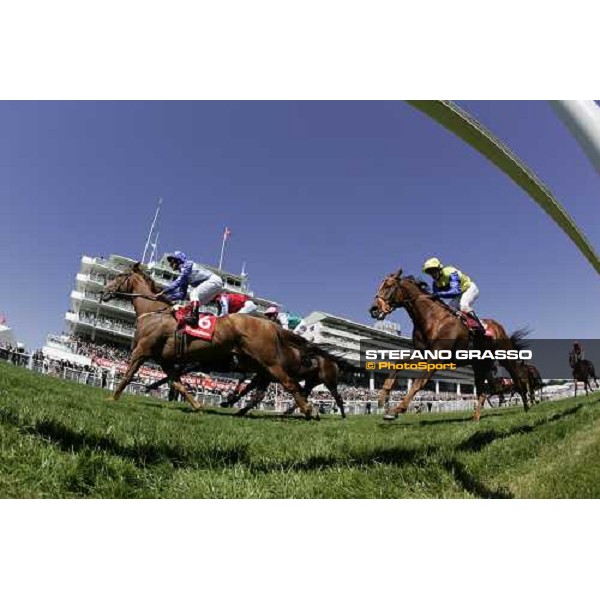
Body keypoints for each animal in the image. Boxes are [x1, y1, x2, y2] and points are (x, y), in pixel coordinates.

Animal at [101, 264, 322, 420]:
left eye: (120, 276)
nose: (104, 291)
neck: (154, 312)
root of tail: (270, 325)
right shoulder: (165, 360)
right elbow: (179, 384)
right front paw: (197, 406)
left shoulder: (142, 350)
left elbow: (128, 375)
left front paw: (112, 398)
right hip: (259, 365)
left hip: (269, 362)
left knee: (290, 384)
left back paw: (309, 411)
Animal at [368, 270, 528, 420]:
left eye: (389, 286)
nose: (374, 309)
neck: (431, 318)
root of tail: (498, 327)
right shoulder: (423, 353)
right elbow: (398, 364)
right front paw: (383, 398)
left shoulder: (437, 357)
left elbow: (419, 382)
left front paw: (397, 409)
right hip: (480, 365)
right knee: (485, 392)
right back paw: (475, 418)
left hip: (505, 358)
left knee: (517, 380)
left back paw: (527, 407)